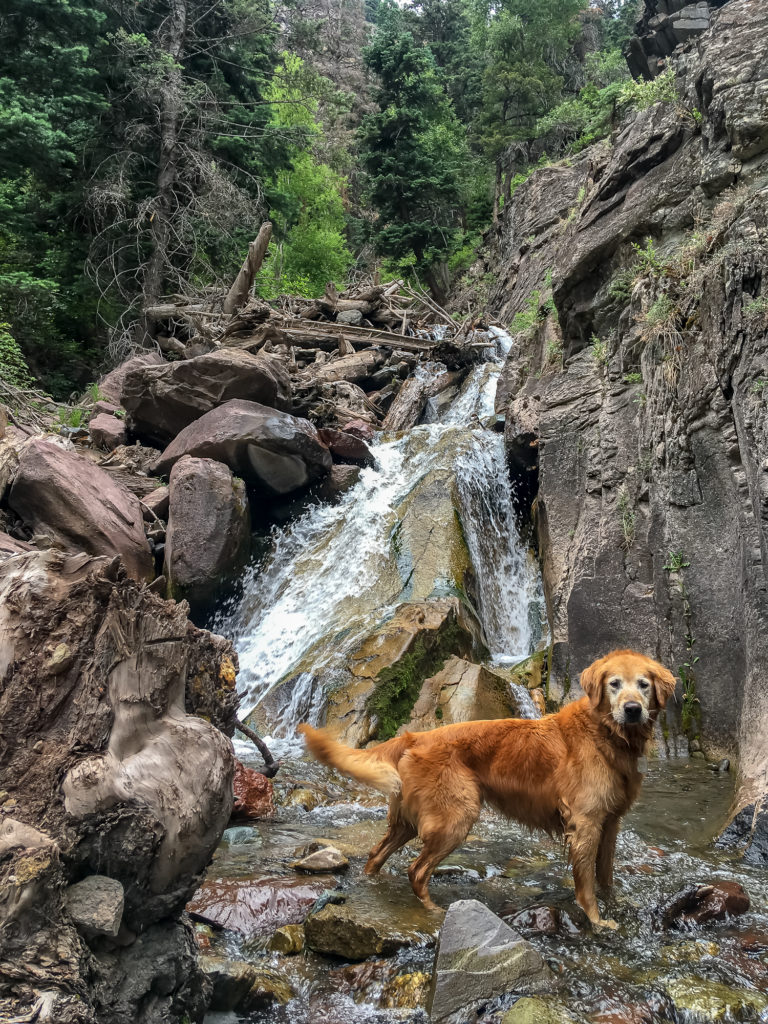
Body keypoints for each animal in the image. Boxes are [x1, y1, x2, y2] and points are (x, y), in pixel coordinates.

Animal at [296, 655, 675, 929]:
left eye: (643, 685)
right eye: (614, 684)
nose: (632, 709)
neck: (606, 735)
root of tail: (415, 736)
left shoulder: (610, 823)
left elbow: (606, 875)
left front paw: (618, 904)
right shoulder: (585, 825)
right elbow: (586, 886)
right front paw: (598, 921)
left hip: (408, 820)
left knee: (377, 855)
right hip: (455, 817)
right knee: (416, 870)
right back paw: (434, 909)